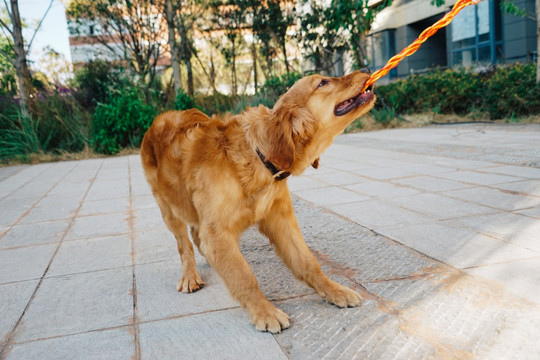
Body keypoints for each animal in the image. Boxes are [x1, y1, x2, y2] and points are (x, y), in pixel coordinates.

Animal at [140, 69, 376, 334]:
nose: (367, 70)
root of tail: (161, 117)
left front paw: (335, 290)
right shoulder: (217, 231)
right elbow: (244, 276)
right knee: (184, 244)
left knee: (196, 235)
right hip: (169, 208)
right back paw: (190, 275)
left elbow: (308, 262)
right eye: (323, 82)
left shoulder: (280, 220)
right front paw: (265, 311)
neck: (257, 155)